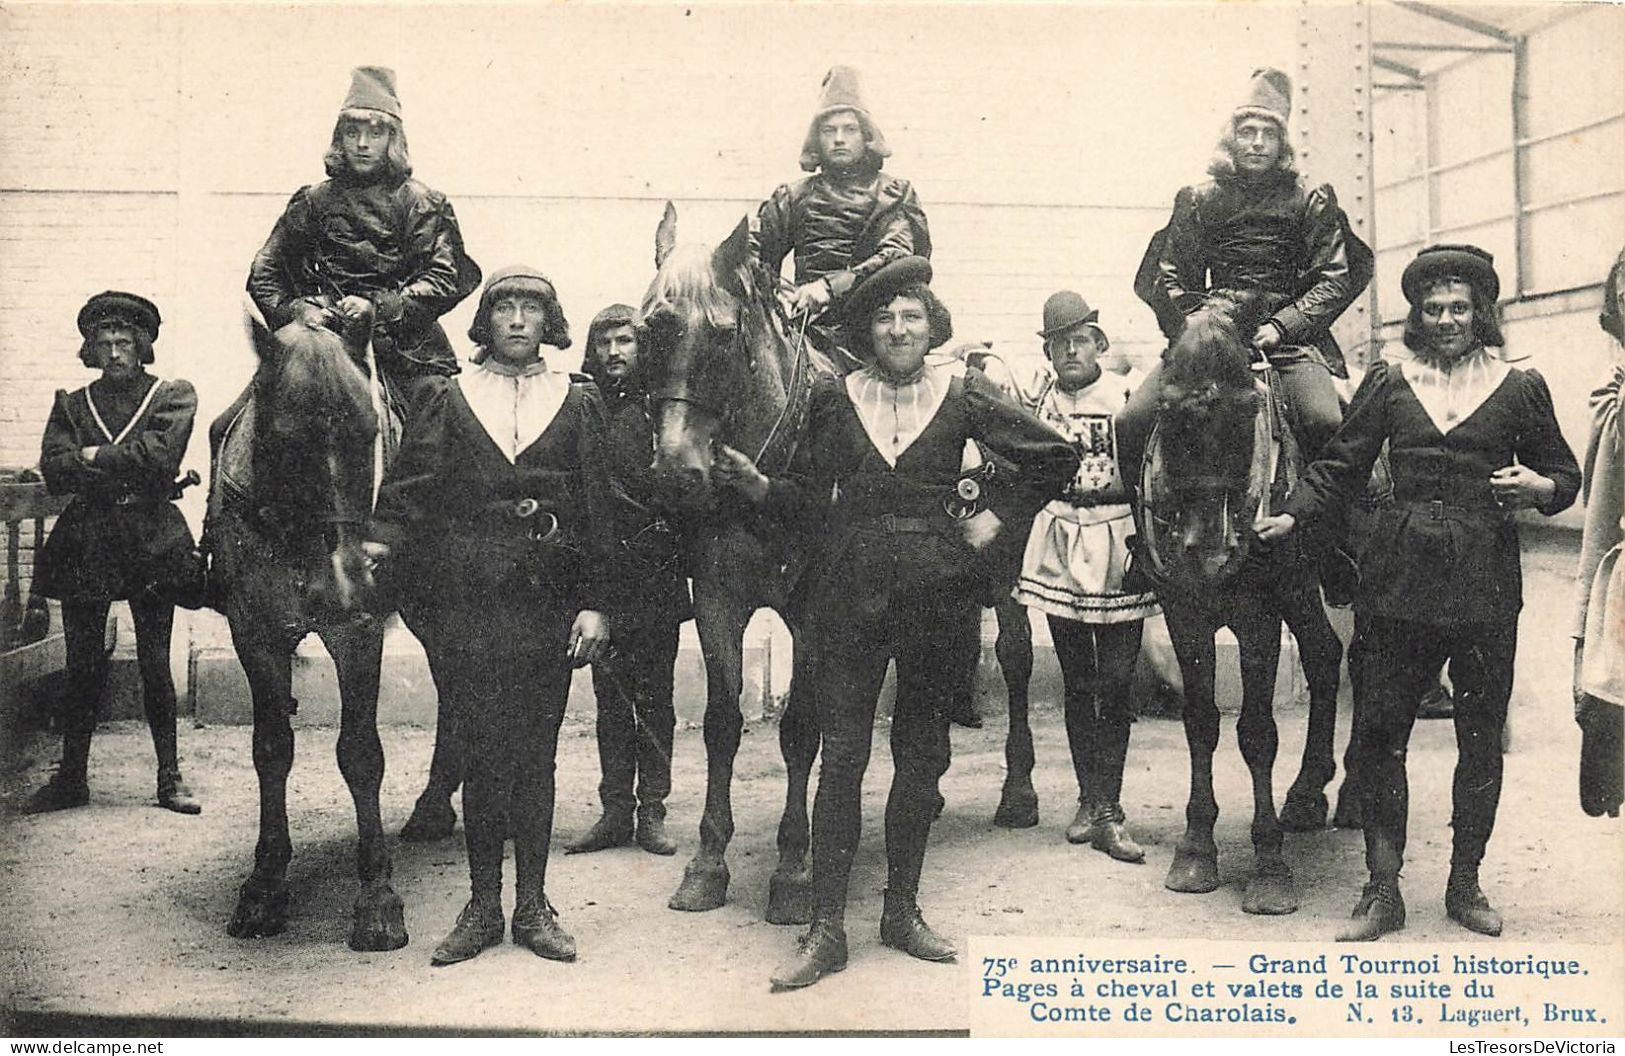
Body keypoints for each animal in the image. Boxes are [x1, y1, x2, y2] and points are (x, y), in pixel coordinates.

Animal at [206, 303, 409, 948]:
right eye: (283, 438)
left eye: (368, 434)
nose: (348, 580)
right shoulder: (256, 635)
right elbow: (272, 748)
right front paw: (264, 885)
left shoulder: (358, 632)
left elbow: (361, 754)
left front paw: (377, 898)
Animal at [1131, 292, 1345, 909]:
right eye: (1168, 407)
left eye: (1250, 405)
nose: (1210, 548)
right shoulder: (1184, 616)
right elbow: (1201, 722)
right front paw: (1196, 850)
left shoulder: (1259, 619)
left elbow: (1256, 733)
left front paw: (1269, 866)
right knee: (1324, 655)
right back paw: (1307, 793)